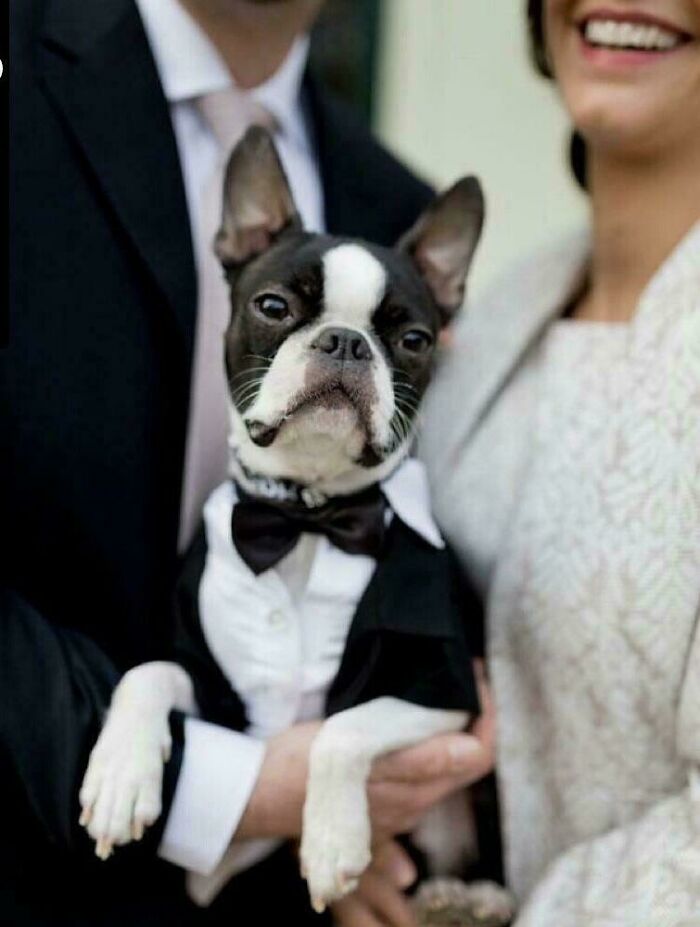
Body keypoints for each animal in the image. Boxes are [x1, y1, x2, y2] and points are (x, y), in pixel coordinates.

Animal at [79, 127, 498, 916]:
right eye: (273, 305)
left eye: (415, 340)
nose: (346, 341)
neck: (307, 514)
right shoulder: (205, 681)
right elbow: (148, 671)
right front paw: (121, 774)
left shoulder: (446, 690)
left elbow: (340, 727)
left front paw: (332, 839)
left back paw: (468, 899)